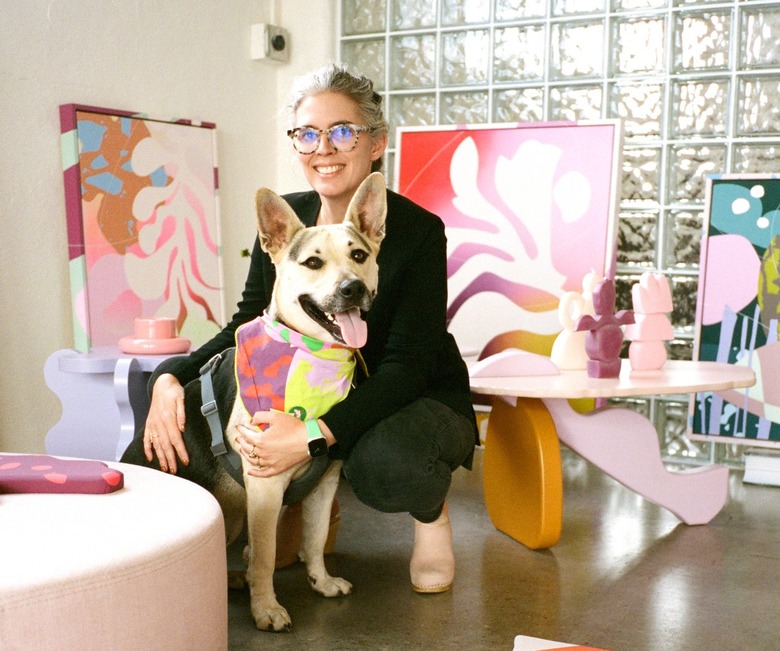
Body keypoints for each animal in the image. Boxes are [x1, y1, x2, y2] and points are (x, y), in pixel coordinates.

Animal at [121, 173, 386, 632]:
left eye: (359, 255)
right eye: (313, 263)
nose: (352, 289)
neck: (310, 355)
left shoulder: (325, 483)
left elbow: (315, 539)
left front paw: (320, 581)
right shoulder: (264, 488)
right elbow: (263, 556)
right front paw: (266, 609)